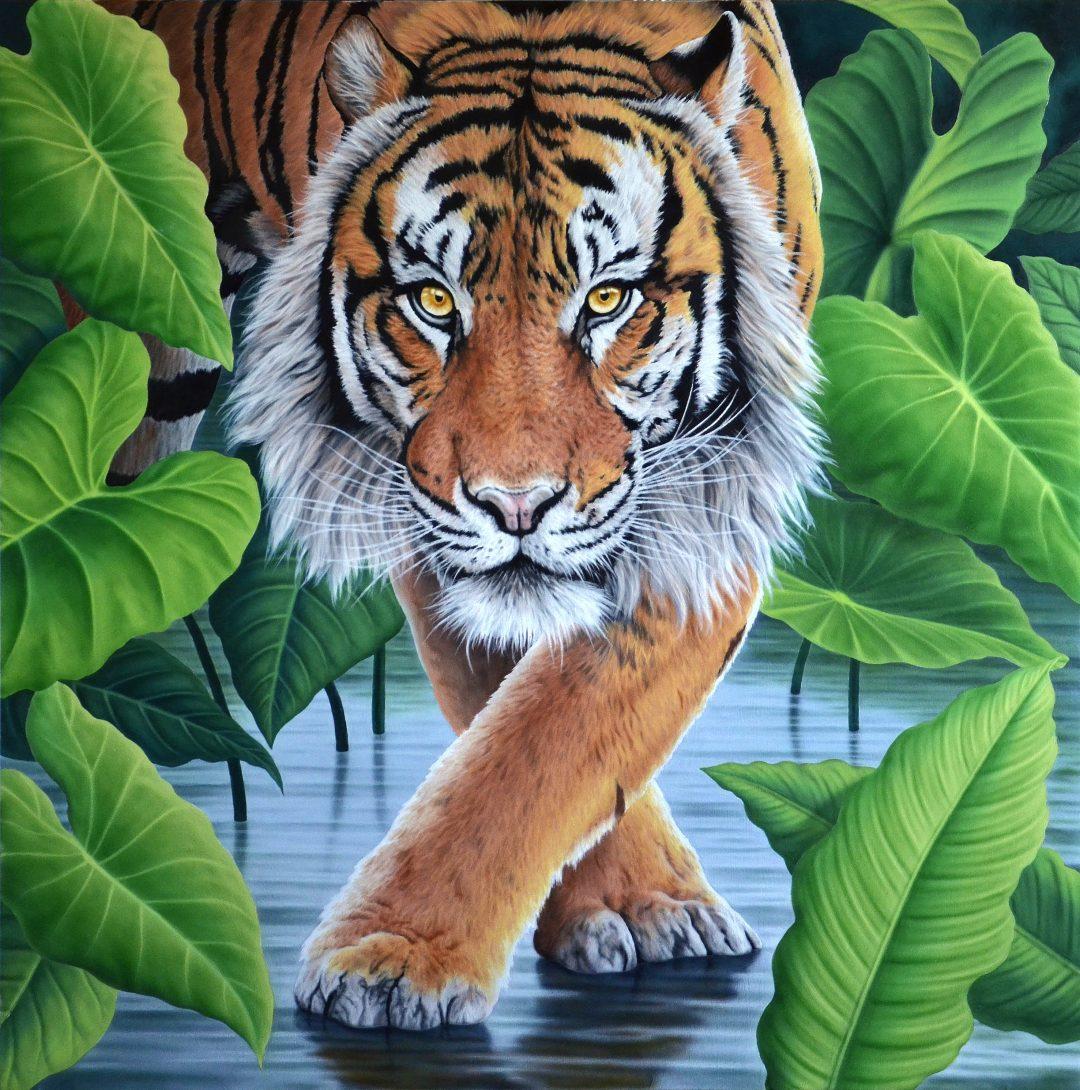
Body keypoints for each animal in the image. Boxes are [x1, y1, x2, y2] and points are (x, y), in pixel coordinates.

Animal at [102, 0, 823, 1030]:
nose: (515, 504)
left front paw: (640, 911)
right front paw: (397, 963)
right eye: (435, 302)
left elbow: (556, 735)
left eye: (608, 299)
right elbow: (514, 741)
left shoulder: (705, 508)